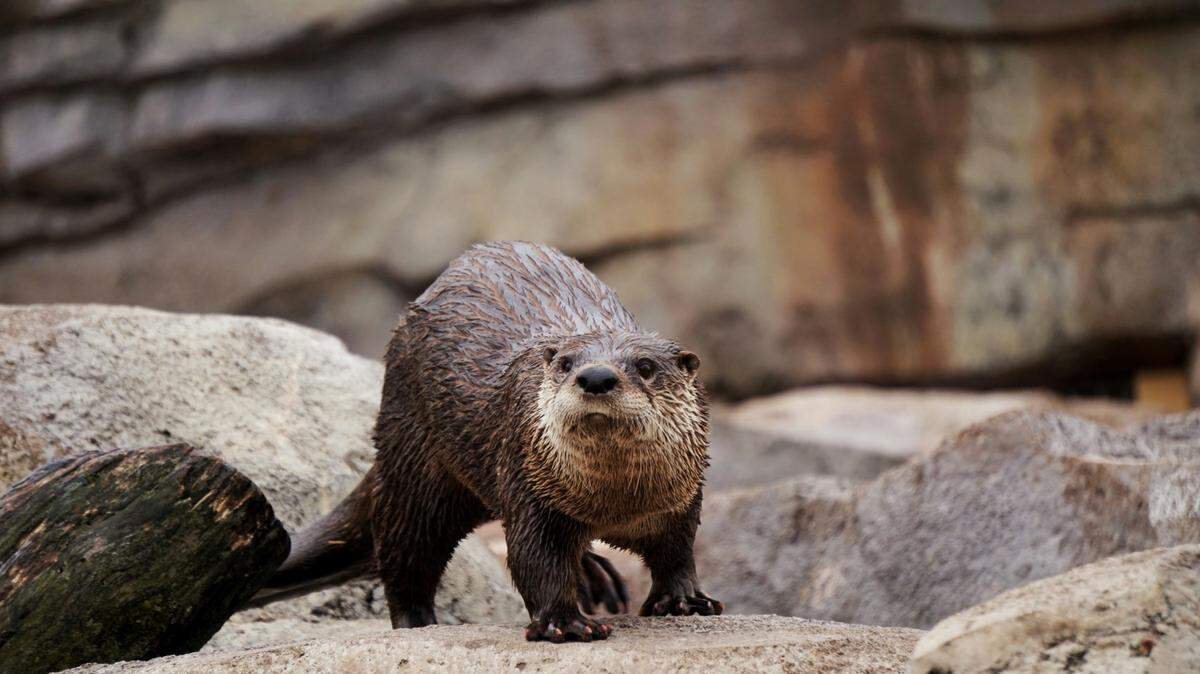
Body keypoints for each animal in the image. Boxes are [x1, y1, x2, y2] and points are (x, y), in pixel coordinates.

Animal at [253, 241, 722, 642]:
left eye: (645, 366)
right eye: (566, 363)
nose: (595, 377)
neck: (615, 503)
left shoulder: (682, 498)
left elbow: (678, 550)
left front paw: (685, 599)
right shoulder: (531, 487)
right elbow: (536, 559)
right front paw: (565, 622)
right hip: (416, 464)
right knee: (405, 551)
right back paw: (417, 623)